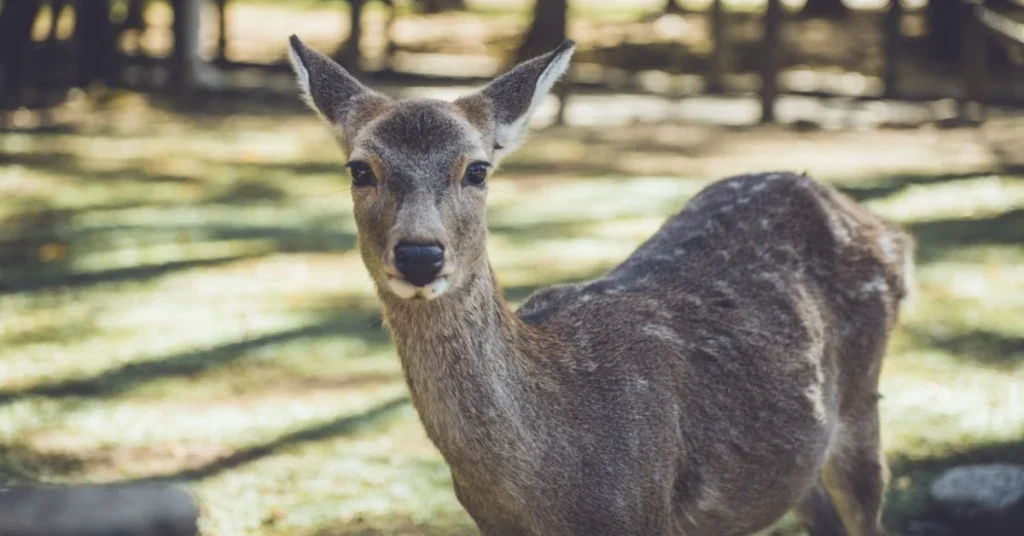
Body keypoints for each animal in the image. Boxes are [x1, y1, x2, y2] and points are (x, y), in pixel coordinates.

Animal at [286, 36, 915, 536]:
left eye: (477, 169)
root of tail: (890, 231)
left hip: (862, 400)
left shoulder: (645, 511)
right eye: (359, 169)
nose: (420, 254)